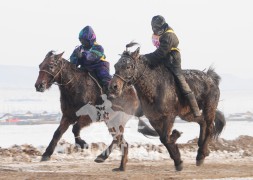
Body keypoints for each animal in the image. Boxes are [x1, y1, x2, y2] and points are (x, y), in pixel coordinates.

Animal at [108, 43, 225, 171]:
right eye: (116, 65)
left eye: (128, 66)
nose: (113, 87)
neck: (154, 88)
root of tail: (211, 78)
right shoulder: (154, 120)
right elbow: (164, 139)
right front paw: (178, 159)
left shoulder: (169, 116)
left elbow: (165, 138)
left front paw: (176, 145)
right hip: (187, 114)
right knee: (202, 122)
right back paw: (202, 150)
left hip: (209, 108)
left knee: (210, 127)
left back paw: (201, 154)